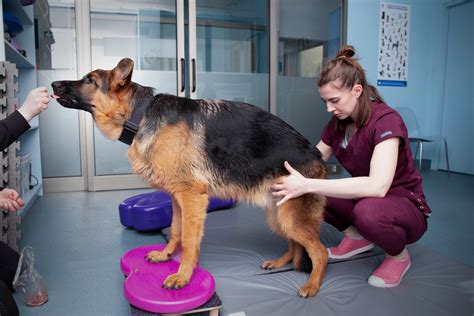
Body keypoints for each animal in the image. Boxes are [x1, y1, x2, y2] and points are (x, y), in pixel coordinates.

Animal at [51, 58, 326, 298]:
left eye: (90, 79)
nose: (53, 84)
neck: (140, 116)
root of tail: (317, 155)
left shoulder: (193, 198)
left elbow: (189, 240)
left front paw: (182, 276)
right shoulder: (177, 198)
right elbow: (175, 231)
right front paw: (166, 255)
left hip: (290, 217)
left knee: (319, 252)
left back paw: (312, 285)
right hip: (277, 215)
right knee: (296, 245)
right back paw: (280, 262)